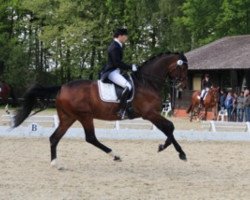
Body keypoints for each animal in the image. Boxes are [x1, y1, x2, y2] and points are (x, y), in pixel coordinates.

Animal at [11, 52, 188, 169]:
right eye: (182, 68)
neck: (147, 82)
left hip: (68, 117)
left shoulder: (151, 114)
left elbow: (169, 128)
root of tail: (62, 87)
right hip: (85, 116)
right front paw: (178, 152)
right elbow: (170, 128)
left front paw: (166, 147)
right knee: (90, 138)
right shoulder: (149, 114)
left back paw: (56, 163)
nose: (182, 87)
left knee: (55, 138)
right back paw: (115, 155)